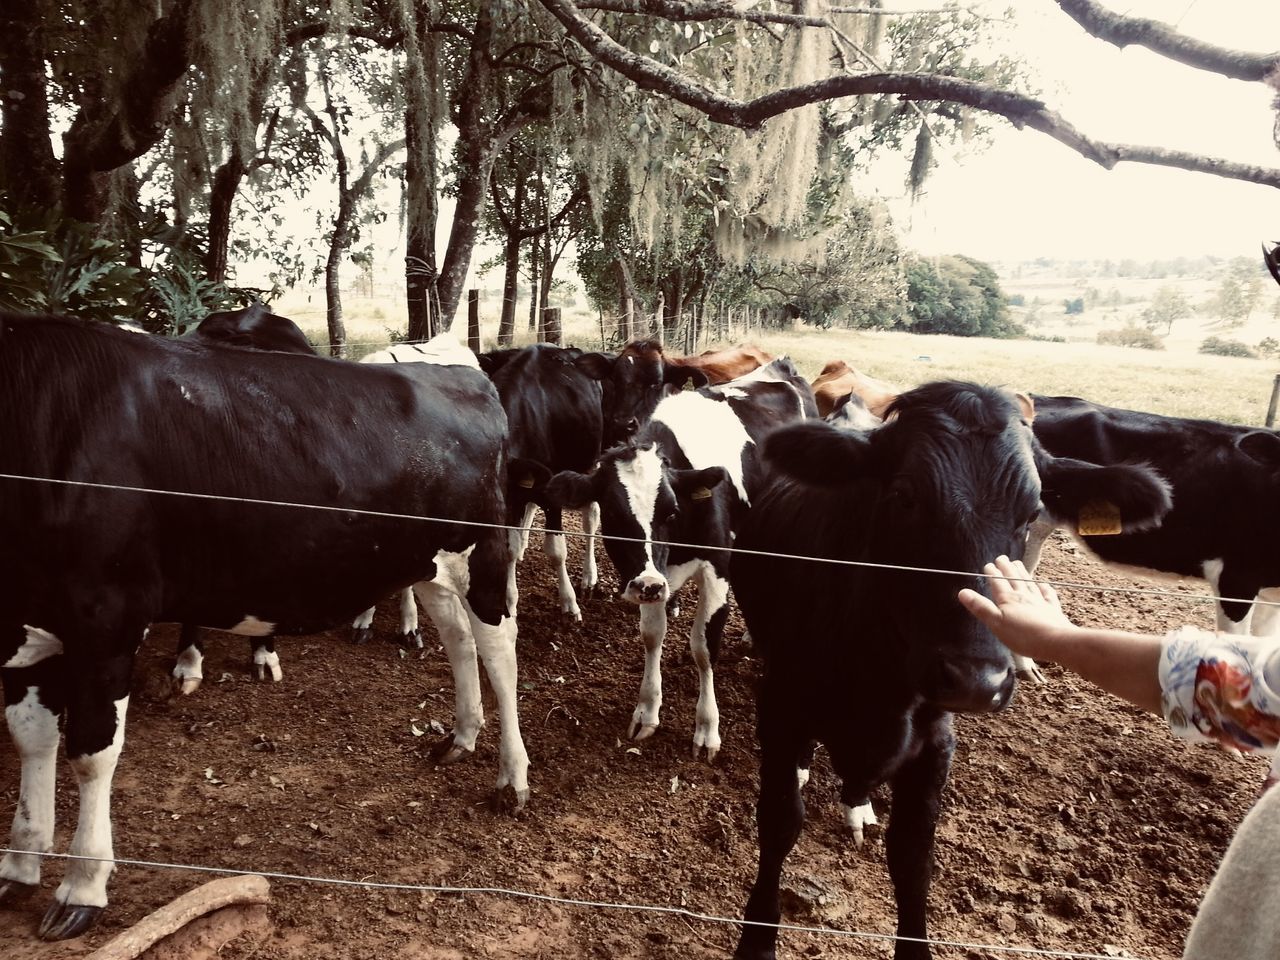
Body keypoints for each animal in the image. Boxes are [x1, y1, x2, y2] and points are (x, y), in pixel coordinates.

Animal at [0, 313, 524, 942]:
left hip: (483, 550)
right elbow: (31, 736)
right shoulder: (27, 628)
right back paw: (461, 737)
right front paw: (20, 863)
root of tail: (455, 363)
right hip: (425, 561)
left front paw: (82, 886)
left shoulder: (107, 620)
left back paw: (512, 779)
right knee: (457, 637)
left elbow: (90, 753)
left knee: (499, 646)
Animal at [545, 358, 814, 762]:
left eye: (670, 512)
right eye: (613, 516)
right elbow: (652, 636)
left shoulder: (717, 567)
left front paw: (707, 728)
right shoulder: (656, 575)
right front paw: (647, 711)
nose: (647, 585)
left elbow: (704, 647)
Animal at [727, 384, 1172, 960]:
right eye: (904, 496)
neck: (875, 675)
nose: (977, 681)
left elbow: (913, 856)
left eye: (1032, 512)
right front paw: (756, 941)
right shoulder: (782, 706)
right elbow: (780, 823)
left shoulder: (935, 742)